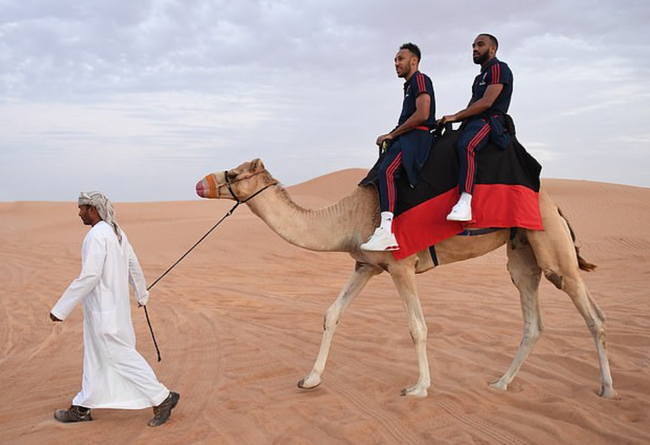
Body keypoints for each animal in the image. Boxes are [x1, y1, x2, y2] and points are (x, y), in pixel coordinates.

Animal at [192, 158, 612, 398]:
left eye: (233, 173)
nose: (200, 183)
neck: (347, 219)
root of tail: (555, 204)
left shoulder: (400, 266)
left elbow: (417, 327)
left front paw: (419, 387)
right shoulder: (365, 266)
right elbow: (332, 314)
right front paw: (309, 379)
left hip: (553, 248)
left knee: (593, 314)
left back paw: (606, 389)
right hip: (523, 255)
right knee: (533, 320)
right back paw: (501, 383)